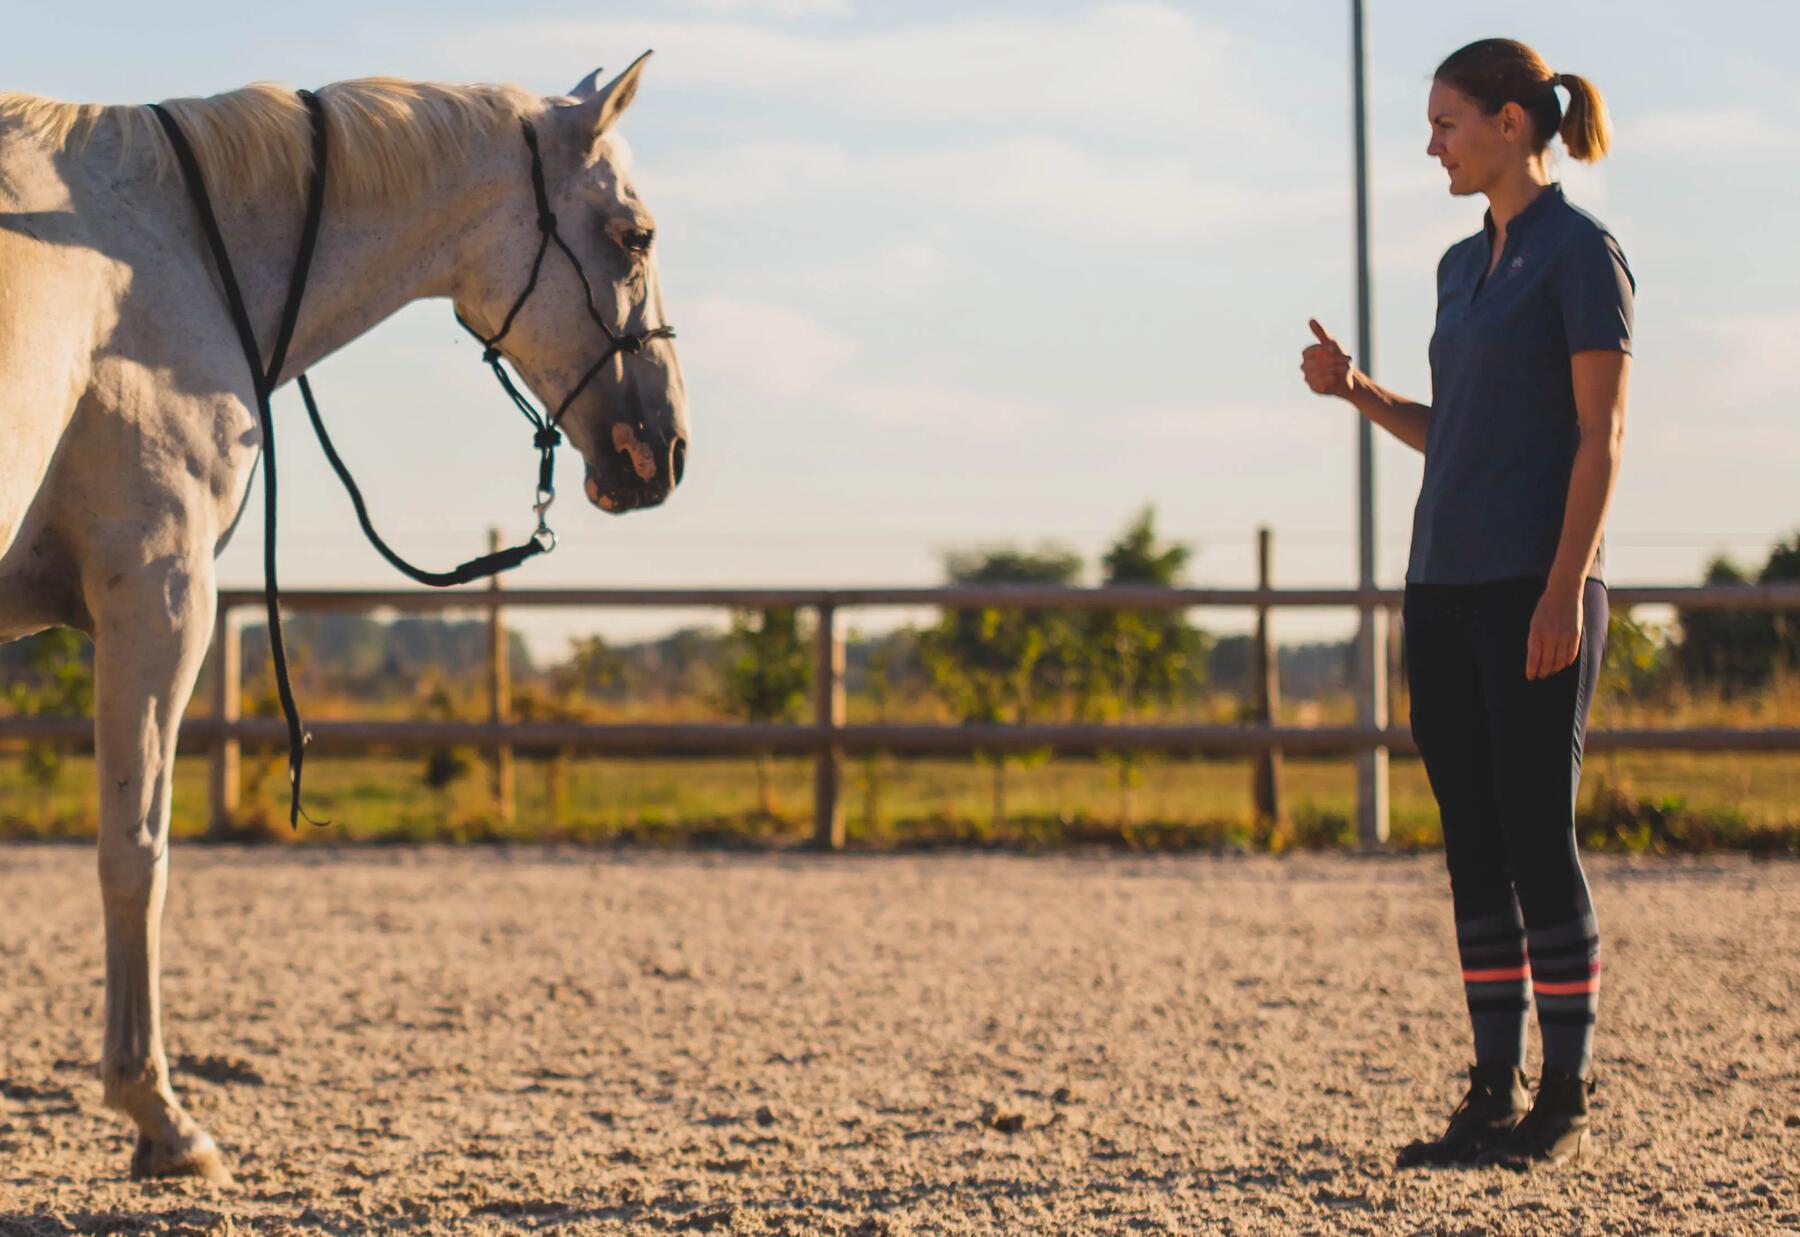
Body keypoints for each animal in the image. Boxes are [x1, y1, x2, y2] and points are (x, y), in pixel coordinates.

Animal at [0, 55, 687, 1181]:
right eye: (635, 236)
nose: (664, 447)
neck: (161, 247)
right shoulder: (160, 593)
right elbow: (135, 853)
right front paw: (159, 1116)